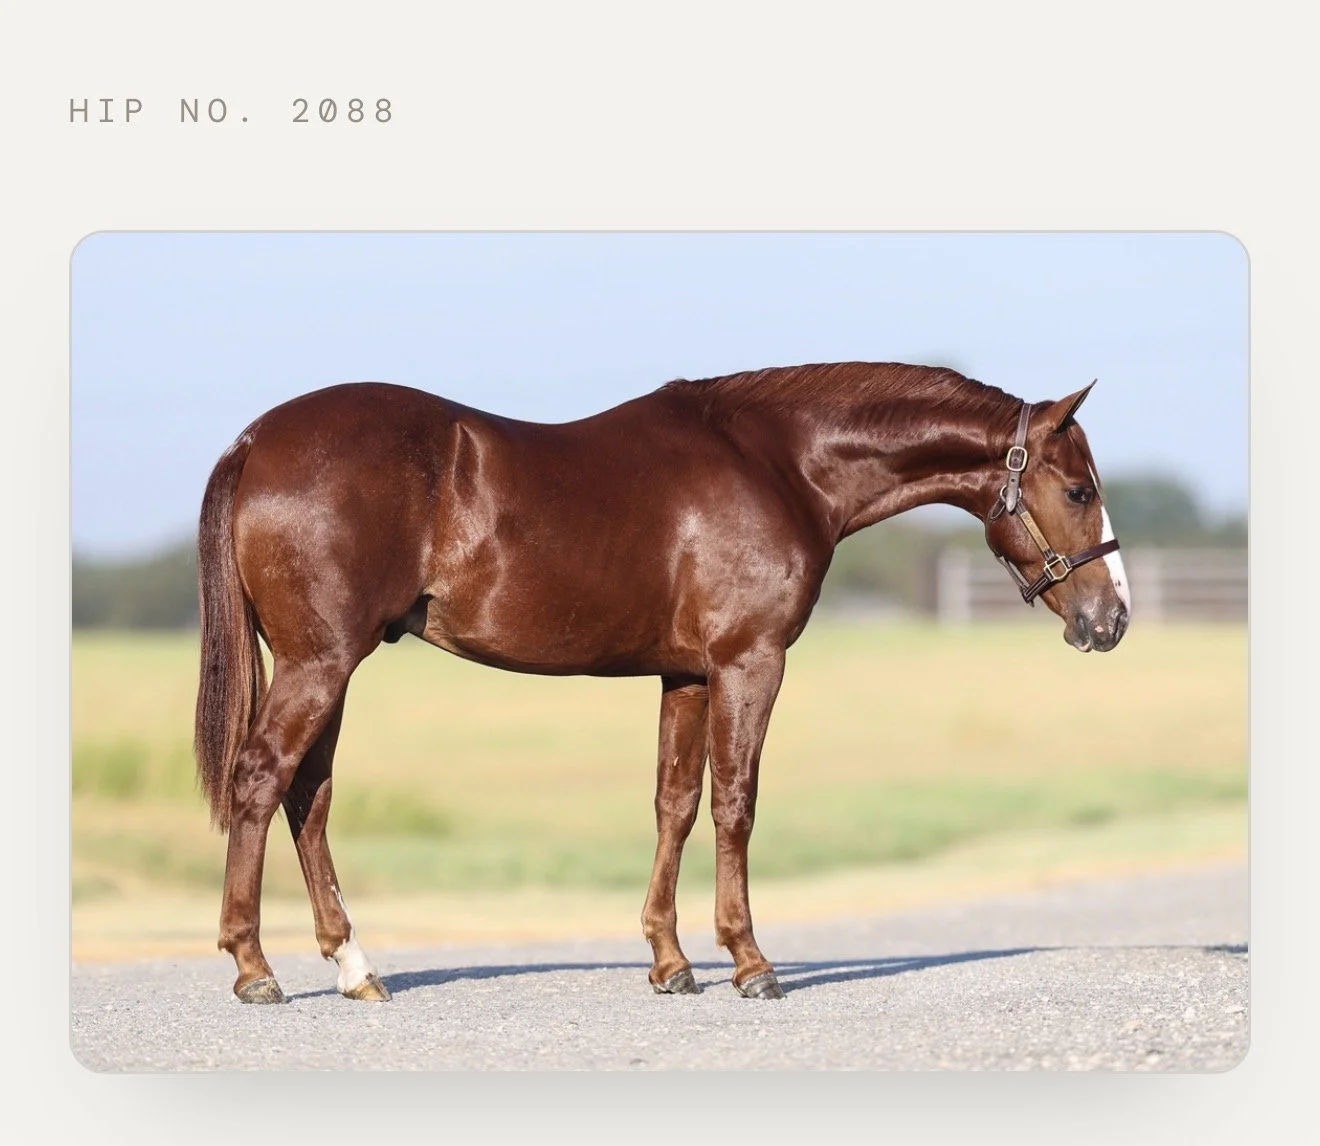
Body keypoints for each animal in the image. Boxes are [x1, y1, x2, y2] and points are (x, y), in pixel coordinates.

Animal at [194, 361, 1130, 1004]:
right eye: (1078, 490)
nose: (1111, 620)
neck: (783, 464)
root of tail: (254, 441)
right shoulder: (750, 661)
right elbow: (735, 804)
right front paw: (750, 962)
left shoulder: (684, 675)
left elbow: (674, 803)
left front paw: (671, 961)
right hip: (322, 661)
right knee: (262, 779)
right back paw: (254, 967)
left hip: (328, 664)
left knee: (308, 796)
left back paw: (354, 968)